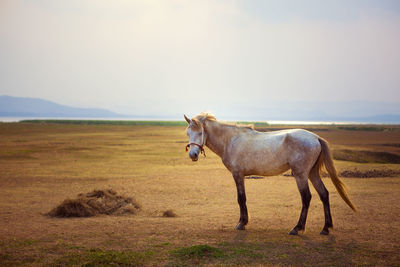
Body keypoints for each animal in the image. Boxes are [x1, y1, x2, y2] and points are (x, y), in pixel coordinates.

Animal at [184, 113, 356, 237]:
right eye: (187, 133)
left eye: (200, 132)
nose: (193, 154)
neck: (231, 140)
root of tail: (316, 138)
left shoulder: (238, 175)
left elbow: (241, 198)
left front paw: (241, 223)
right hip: (312, 173)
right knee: (324, 194)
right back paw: (326, 228)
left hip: (301, 175)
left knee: (306, 197)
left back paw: (297, 228)